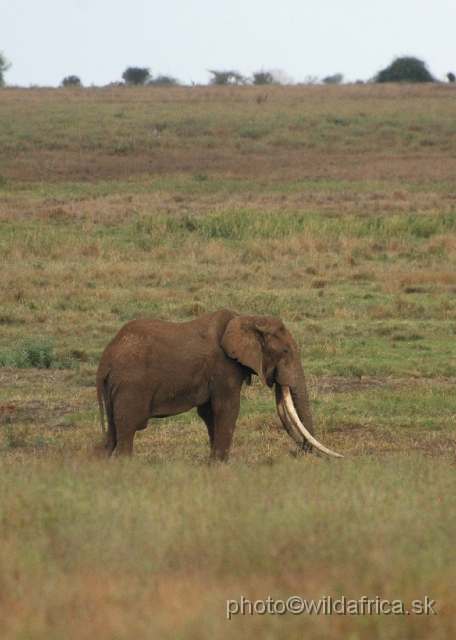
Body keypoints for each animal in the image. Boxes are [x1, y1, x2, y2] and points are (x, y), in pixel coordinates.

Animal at [95, 308, 342, 462]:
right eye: (286, 351)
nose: (301, 452)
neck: (248, 319)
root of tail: (104, 361)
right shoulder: (224, 367)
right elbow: (227, 409)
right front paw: (220, 466)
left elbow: (210, 413)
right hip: (130, 387)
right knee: (126, 434)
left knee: (111, 437)